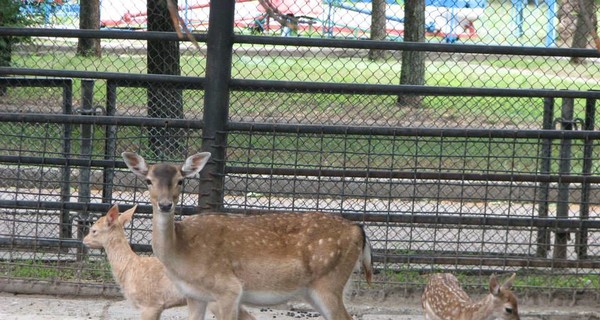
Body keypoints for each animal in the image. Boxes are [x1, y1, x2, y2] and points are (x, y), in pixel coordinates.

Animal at [121, 152, 372, 320]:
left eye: (180, 180)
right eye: (148, 180)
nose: (165, 205)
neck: (182, 253)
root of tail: (358, 230)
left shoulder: (229, 289)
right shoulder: (194, 295)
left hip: (329, 282)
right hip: (314, 290)